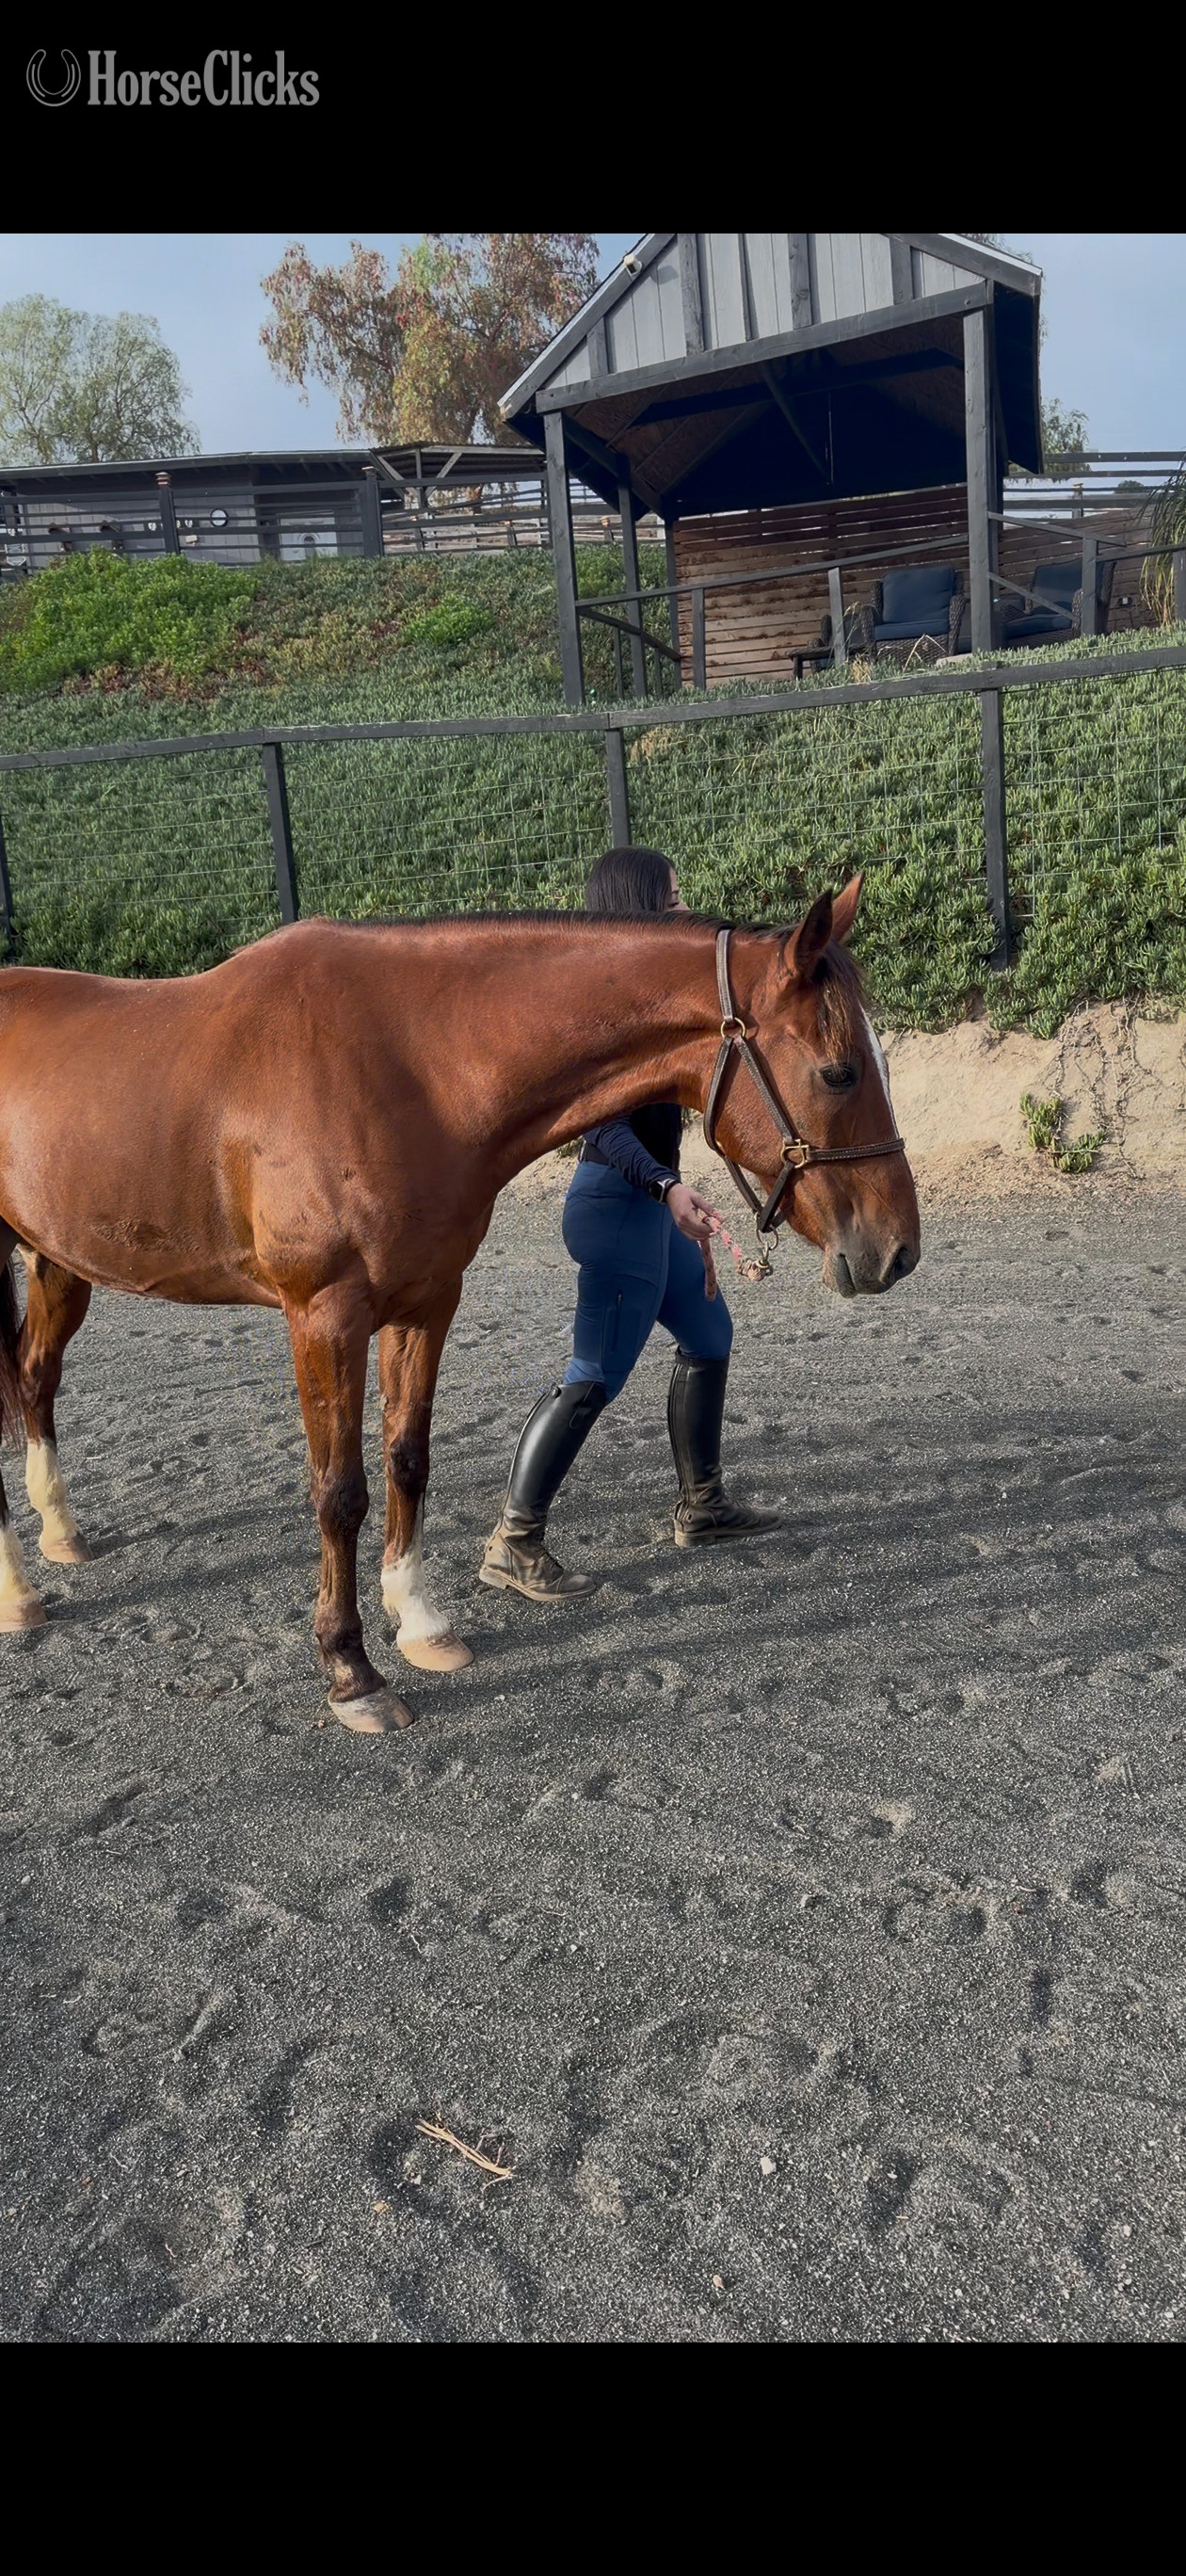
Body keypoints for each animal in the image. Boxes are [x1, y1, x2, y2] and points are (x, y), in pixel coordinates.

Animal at [0, 872, 920, 1732]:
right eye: (838, 1070)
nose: (898, 1250)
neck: (404, 1066)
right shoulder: (323, 1316)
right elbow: (340, 1492)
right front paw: (351, 1672)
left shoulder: (426, 1303)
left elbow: (408, 1460)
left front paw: (420, 1622)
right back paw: (17, 1592)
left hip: (57, 1262)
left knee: (35, 1377)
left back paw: (59, 1534)